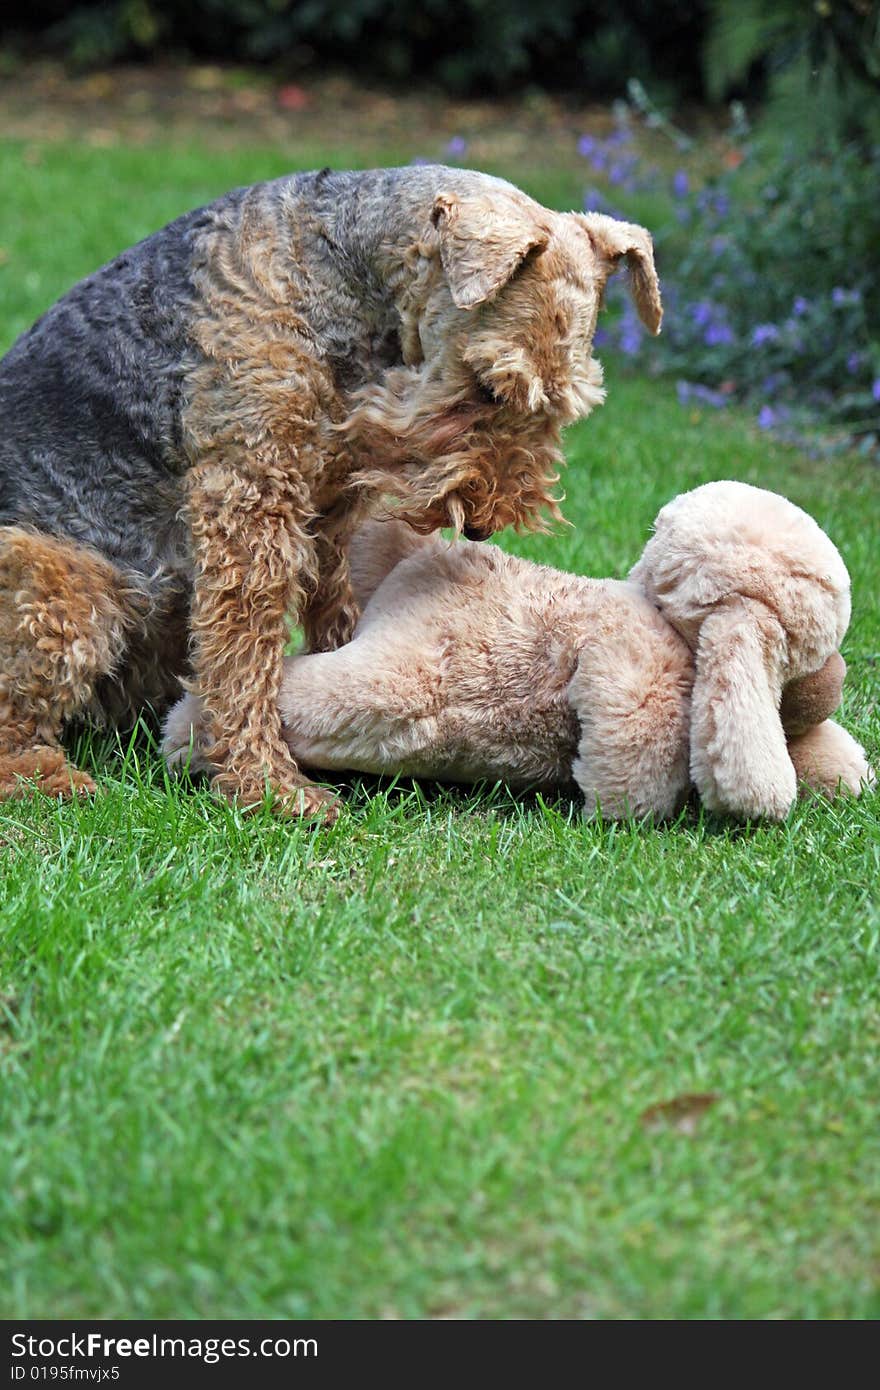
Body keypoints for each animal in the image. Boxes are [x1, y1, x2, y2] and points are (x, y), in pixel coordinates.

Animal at [0, 162, 658, 811]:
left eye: (565, 409)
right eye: (489, 386)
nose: (481, 525)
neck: (341, 271)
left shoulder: (329, 504)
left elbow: (333, 609)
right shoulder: (249, 493)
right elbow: (247, 650)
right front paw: (270, 786)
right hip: (65, 586)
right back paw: (54, 779)